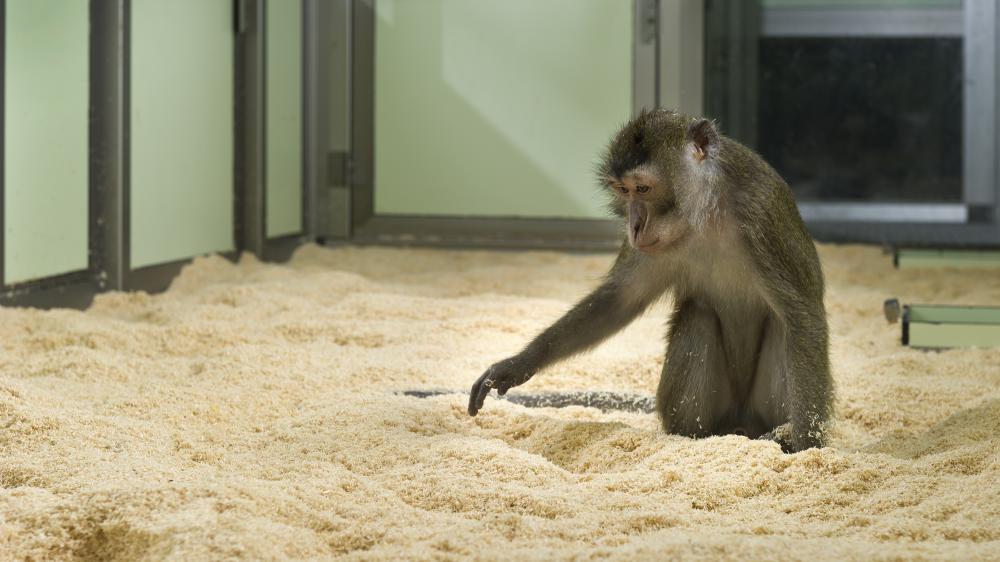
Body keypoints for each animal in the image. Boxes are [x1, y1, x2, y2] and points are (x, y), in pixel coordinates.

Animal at [466, 108, 828, 450]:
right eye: (623, 191)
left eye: (643, 188)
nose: (635, 225)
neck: (707, 215)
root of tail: (742, 421)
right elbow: (620, 299)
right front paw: (518, 364)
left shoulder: (761, 217)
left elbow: (801, 315)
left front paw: (809, 448)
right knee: (699, 315)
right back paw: (696, 437)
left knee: (782, 326)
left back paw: (779, 437)